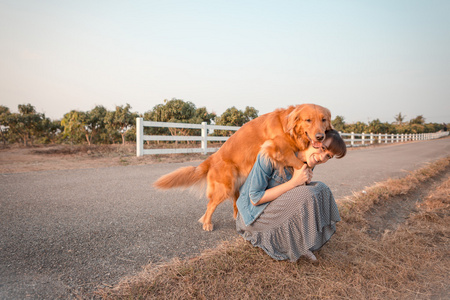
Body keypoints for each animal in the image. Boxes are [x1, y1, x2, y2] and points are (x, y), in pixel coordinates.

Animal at [153, 104, 332, 231]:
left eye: (323, 120)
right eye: (308, 120)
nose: (320, 137)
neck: (288, 129)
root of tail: (211, 158)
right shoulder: (276, 148)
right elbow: (299, 164)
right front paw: (304, 174)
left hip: (236, 183)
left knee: (235, 201)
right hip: (224, 187)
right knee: (210, 205)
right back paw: (207, 223)